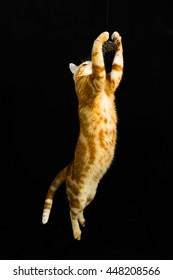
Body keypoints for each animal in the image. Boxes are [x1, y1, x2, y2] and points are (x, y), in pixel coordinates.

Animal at [41, 31, 123, 241]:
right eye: (84, 64)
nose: (87, 64)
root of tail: (69, 166)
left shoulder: (112, 80)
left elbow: (118, 63)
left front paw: (116, 38)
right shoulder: (97, 81)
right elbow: (98, 54)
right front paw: (103, 38)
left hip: (91, 194)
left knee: (79, 212)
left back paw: (83, 221)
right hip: (78, 195)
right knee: (71, 211)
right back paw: (77, 232)